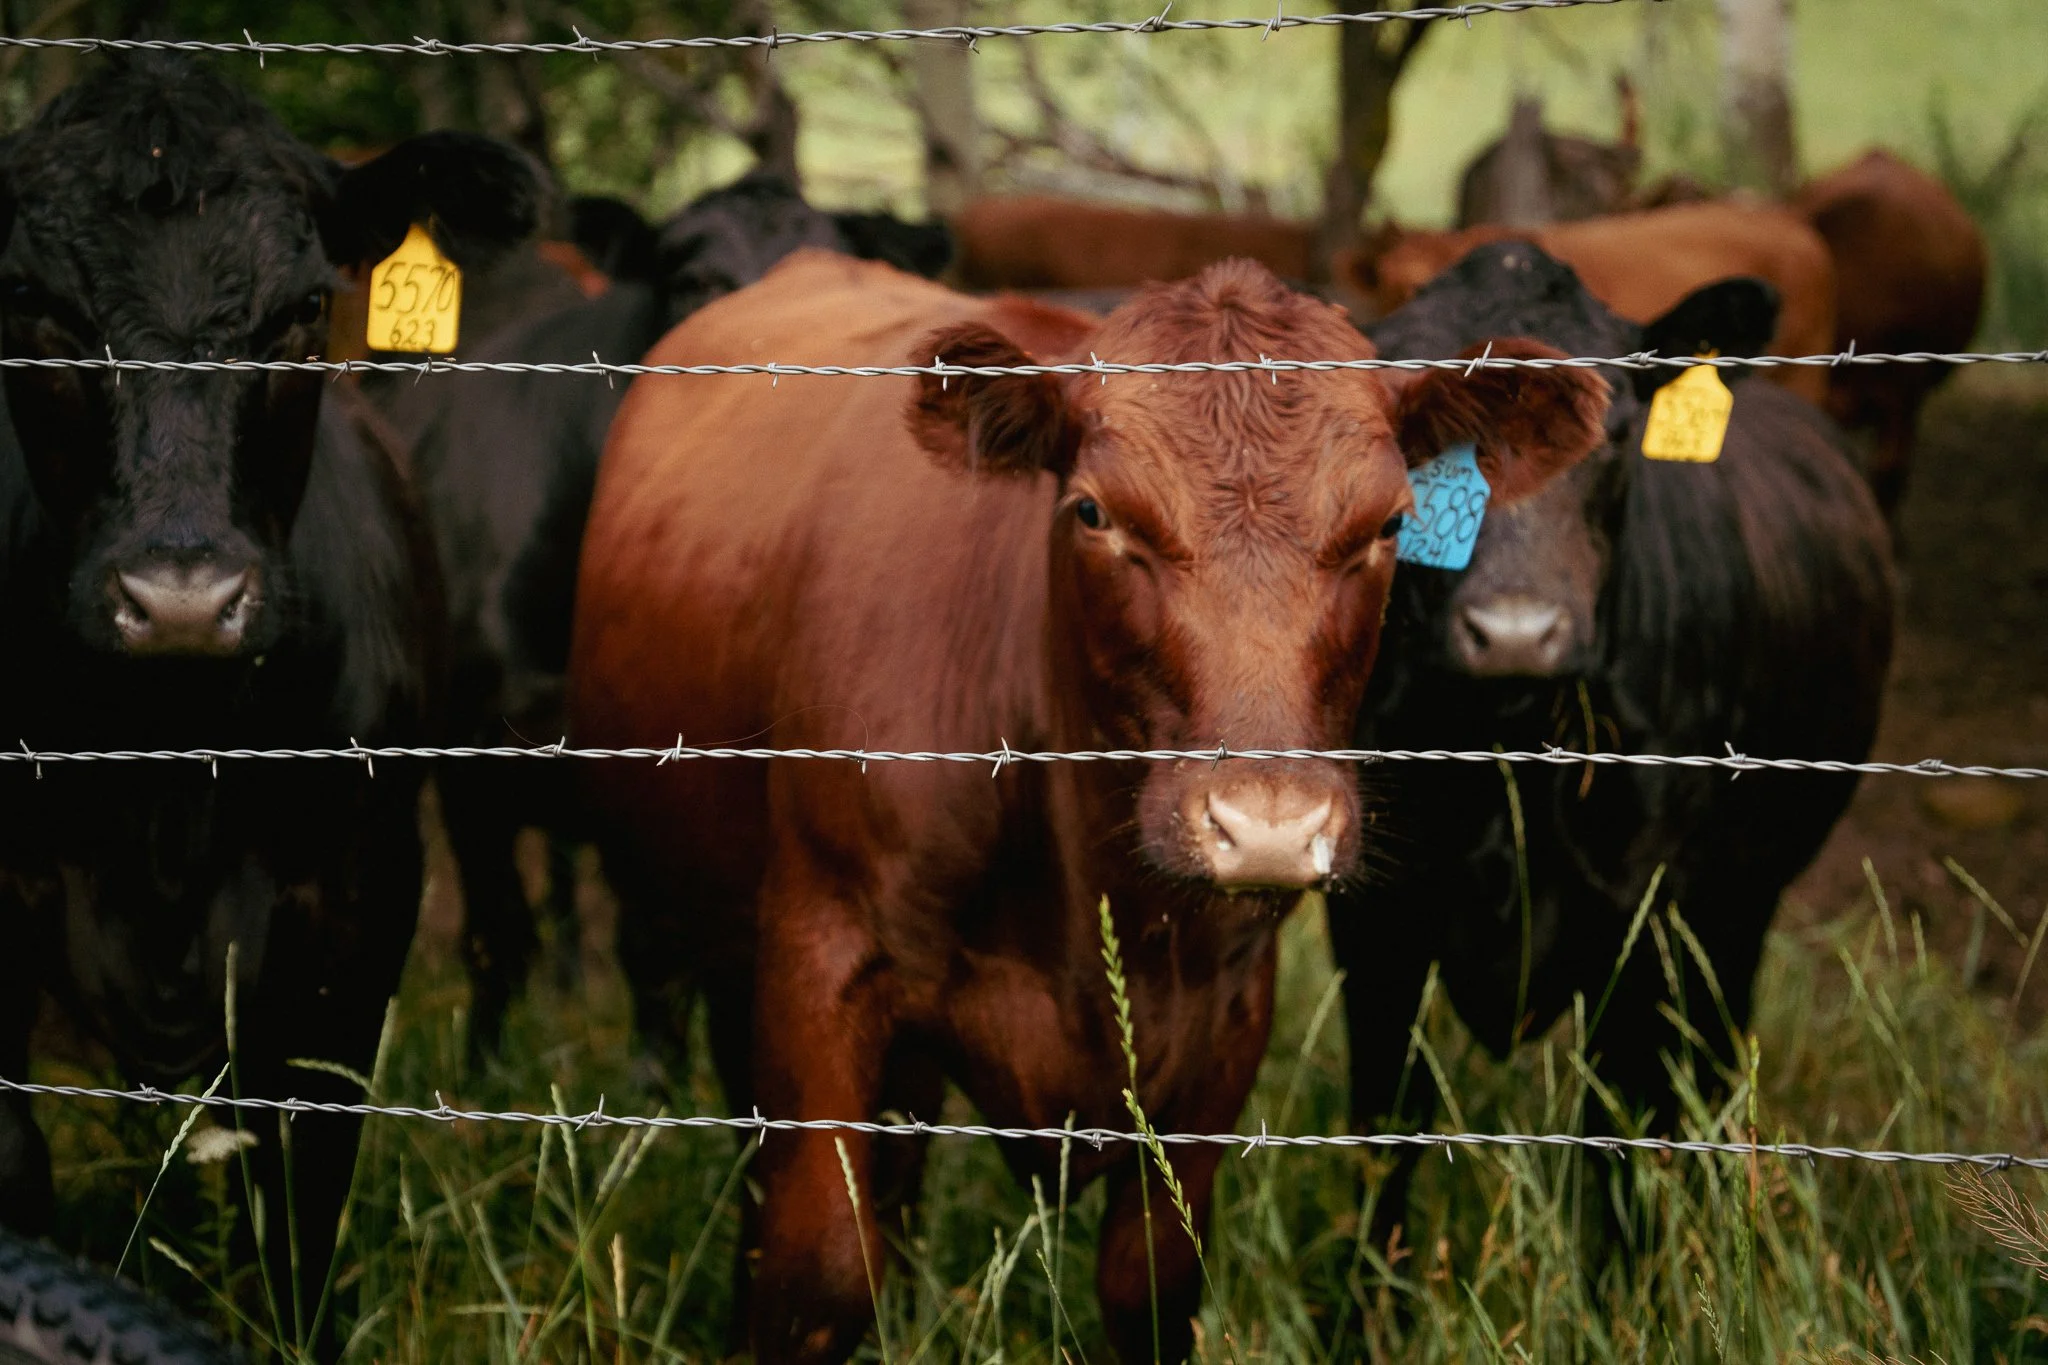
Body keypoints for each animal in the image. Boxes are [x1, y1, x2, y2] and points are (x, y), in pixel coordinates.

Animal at [565, 249, 1614, 1363]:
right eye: (1093, 514)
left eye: (1388, 523)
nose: (1267, 824)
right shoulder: (819, 961)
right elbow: (818, 1269)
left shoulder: (1224, 1016)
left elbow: (1150, 1282)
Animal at [1328, 241, 1893, 1255]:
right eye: (1417, 440)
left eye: (1619, 429)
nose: (1517, 630)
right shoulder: (1378, 921)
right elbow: (1385, 1145)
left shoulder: (1648, 932)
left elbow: (1623, 1157)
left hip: (1741, 907)